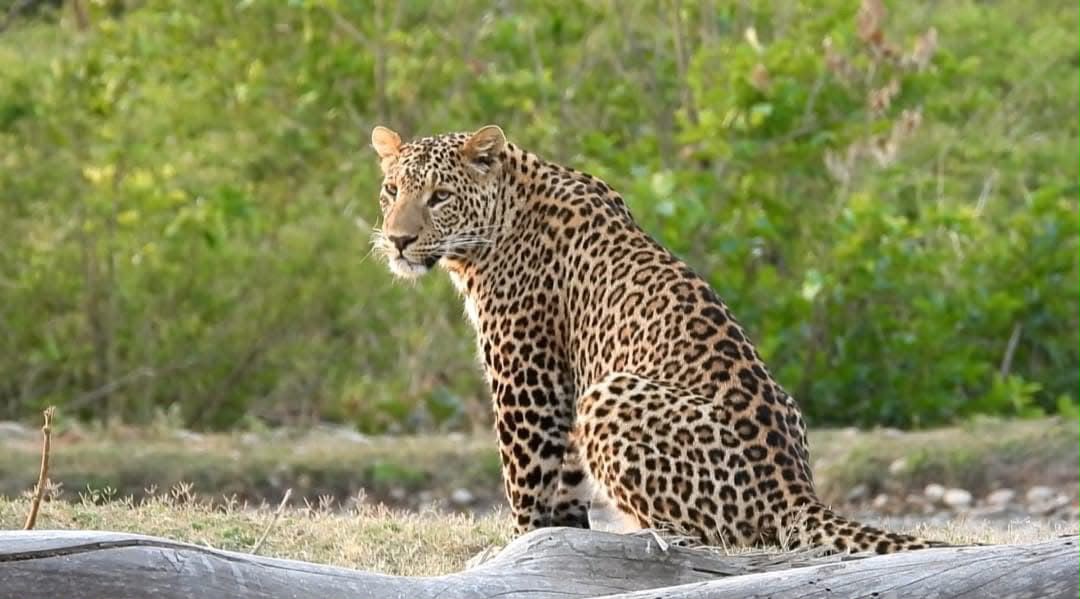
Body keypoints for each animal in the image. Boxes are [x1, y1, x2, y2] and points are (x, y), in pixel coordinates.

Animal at [368, 124, 944, 554]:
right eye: (392, 191)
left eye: (440, 197)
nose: (398, 240)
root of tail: (796, 493)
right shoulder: (567, 381)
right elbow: (566, 481)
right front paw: (564, 534)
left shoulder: (526, 372)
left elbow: (525, 474)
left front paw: (519, 543)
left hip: (611, 395)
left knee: (723, 537)